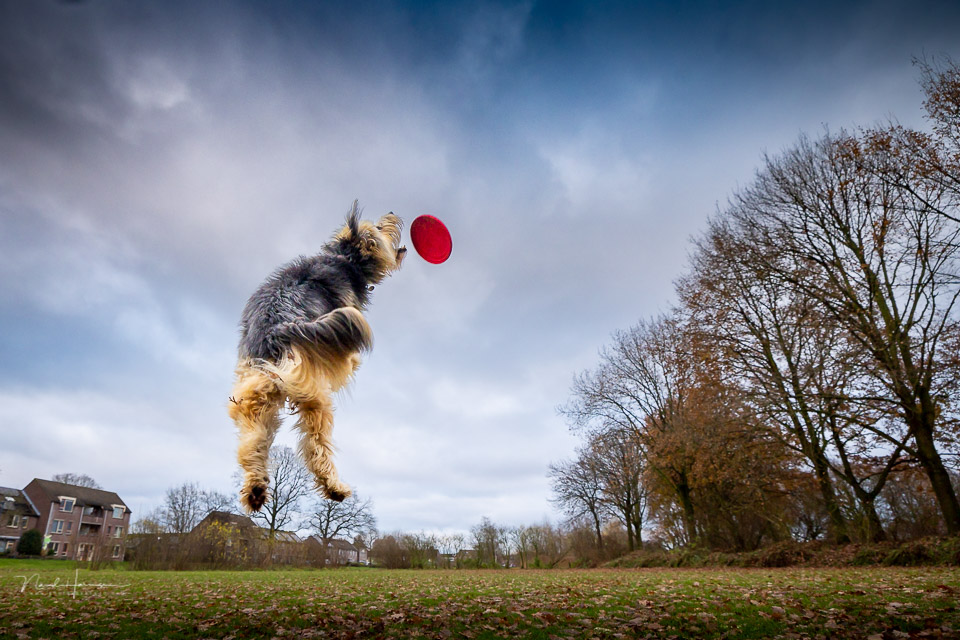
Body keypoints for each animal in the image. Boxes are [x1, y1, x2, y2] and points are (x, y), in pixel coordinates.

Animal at [229, 202, 404, 512]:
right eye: (379, 228)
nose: (393, 214)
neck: (344, 256)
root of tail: (276, 326)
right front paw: (353, 361)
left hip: (259, 387)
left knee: (253, 432)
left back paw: (255, 488)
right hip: (315, 396)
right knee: (315, 446)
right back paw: (334, 487)